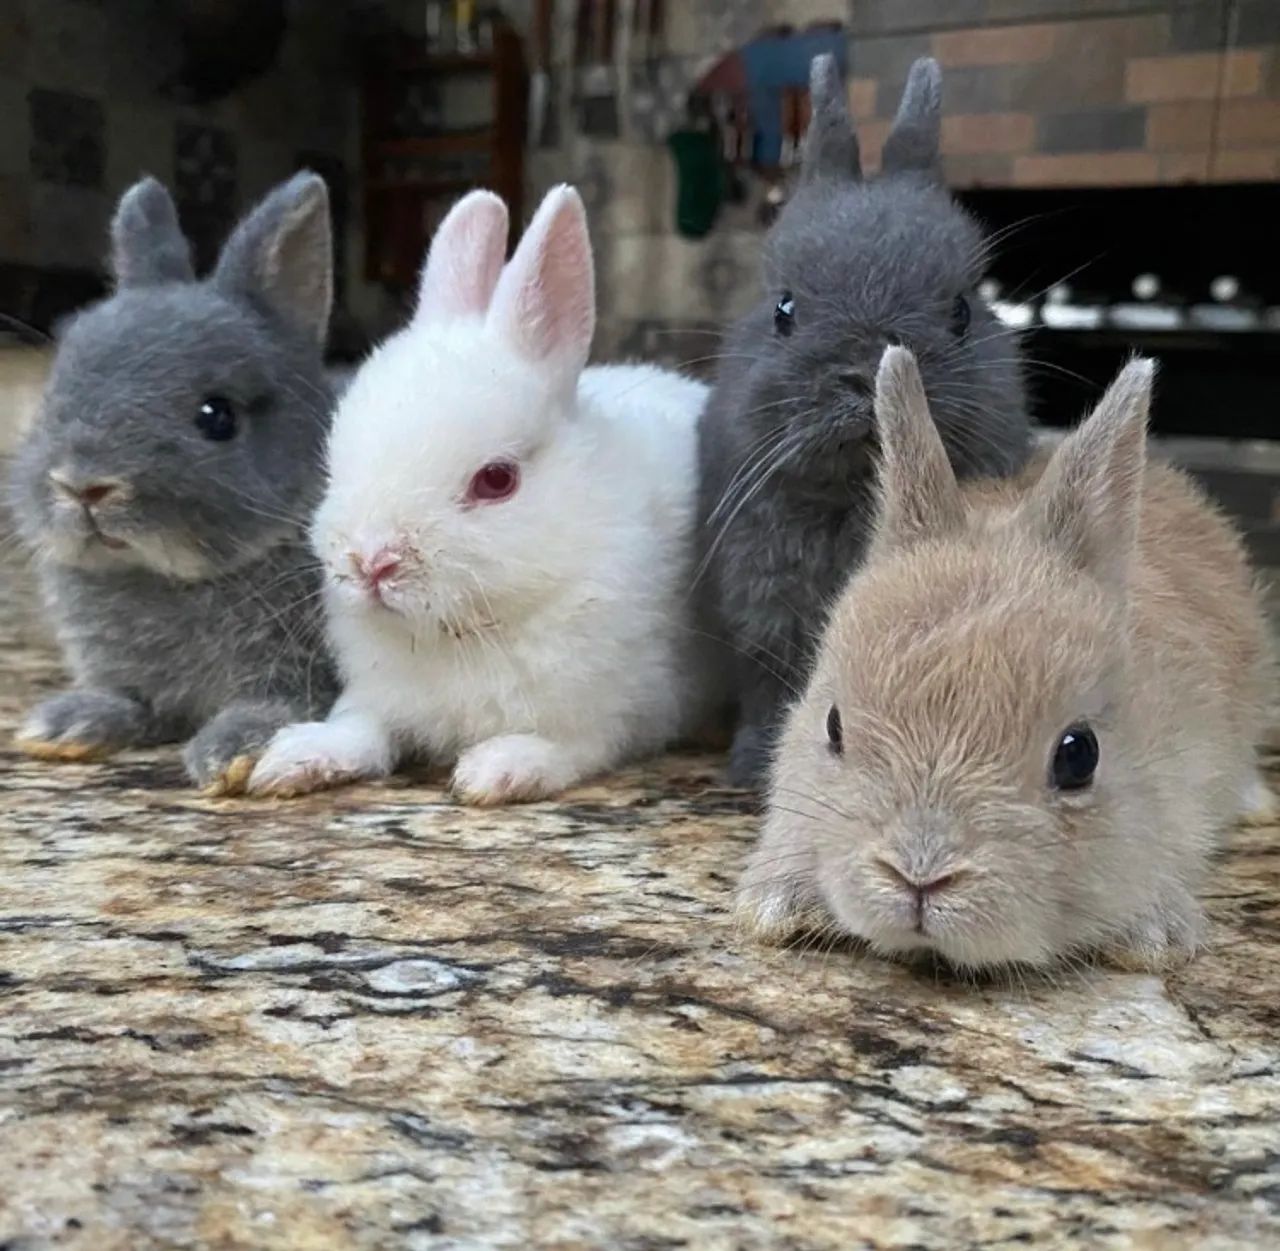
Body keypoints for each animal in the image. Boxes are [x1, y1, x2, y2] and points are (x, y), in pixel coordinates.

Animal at [9, 172, 338, 793]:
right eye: (55, 392)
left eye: (217, 416)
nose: (84, 485)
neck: (165, 576)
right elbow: (128, 702)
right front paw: (62, 726)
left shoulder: (298, 673)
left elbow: (276, 706)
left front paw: (233, 753)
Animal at [246, 184, 717, 805]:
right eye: (334, 464)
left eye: (496, 480)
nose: (372, 562)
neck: (461, 631)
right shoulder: (378, 694)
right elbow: (361, 728)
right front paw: (294, 759)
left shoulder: (615, 709)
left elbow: (567, 746)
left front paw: (495, 772)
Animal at [698, 53, 1032, 789]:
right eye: (784, 310)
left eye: (962, 311)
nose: (869, 371)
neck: (863, 495)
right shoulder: (764, 618)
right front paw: (759, 770)